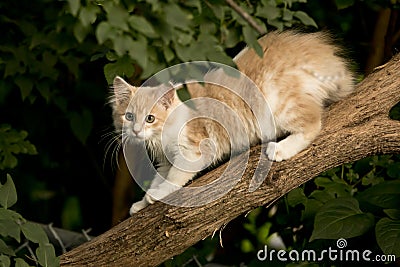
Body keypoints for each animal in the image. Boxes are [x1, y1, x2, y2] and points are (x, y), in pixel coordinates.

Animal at [109, 30, 354, 216]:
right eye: (129, 116)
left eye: (150, 118)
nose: (136, 131)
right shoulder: (165, 160)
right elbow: (160, 177)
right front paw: (142, 203)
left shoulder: (194, 150)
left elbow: (174, 178)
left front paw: (157, 194)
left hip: (278, 105)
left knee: (312, 123)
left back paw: (281, 148)